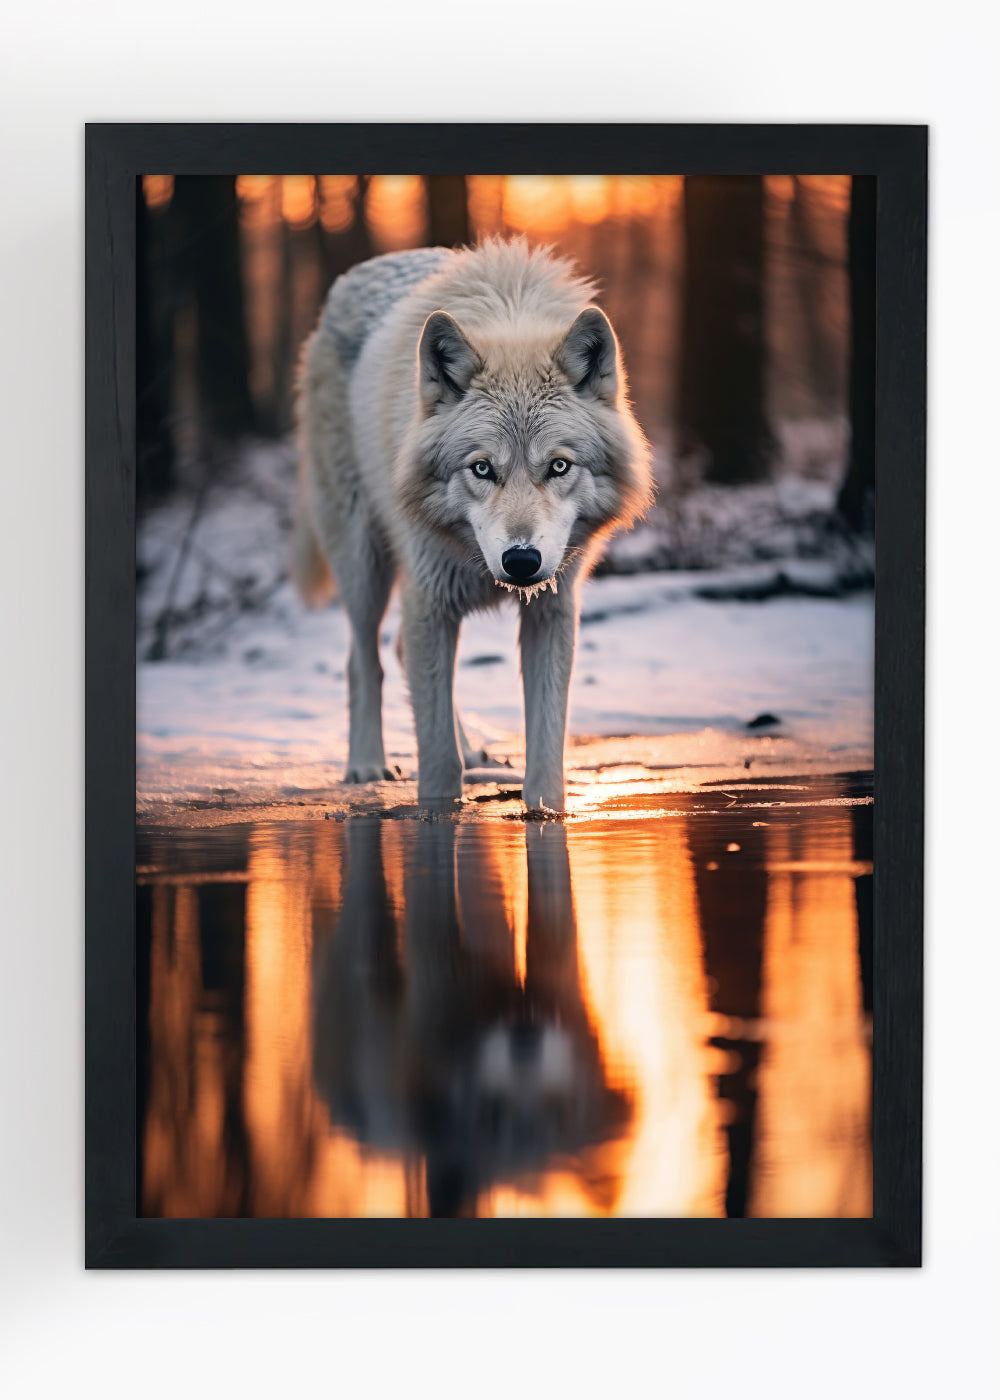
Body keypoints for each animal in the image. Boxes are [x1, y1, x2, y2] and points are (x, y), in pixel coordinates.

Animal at [292, 238, 652, 810]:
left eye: (559, 466)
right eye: (482, 468)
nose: (522, 560)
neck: (511, 316)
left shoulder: (553, 608)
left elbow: (546, 746)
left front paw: (545, 812)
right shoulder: (431, 598)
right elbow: (437, 761)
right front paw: (438, 812)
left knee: (399, 653)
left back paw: (472, 750)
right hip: (363, 561)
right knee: (363, 658)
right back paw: (366, 765)